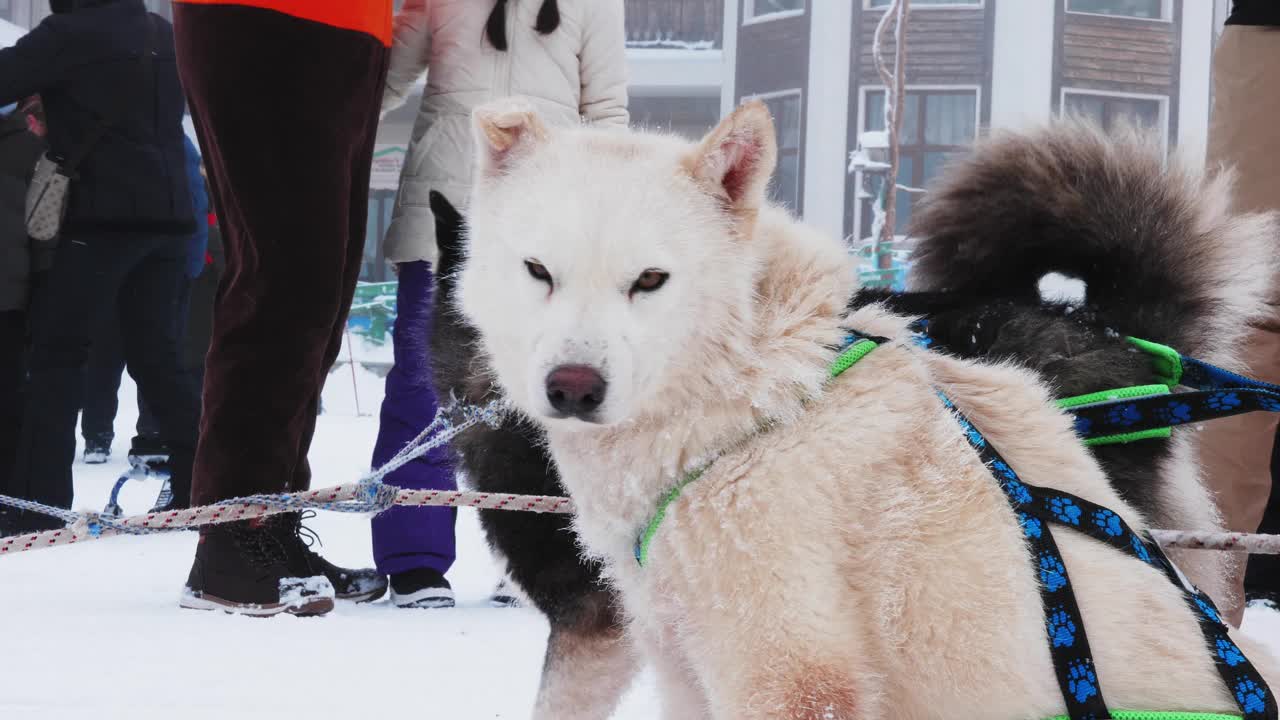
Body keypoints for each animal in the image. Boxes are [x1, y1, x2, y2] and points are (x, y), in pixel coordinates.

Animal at [455, 96, 1274, 717]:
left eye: (650, 279)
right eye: (538, 270)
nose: (572, 385)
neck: (759, 406)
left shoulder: (788, 675)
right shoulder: (682, 664)